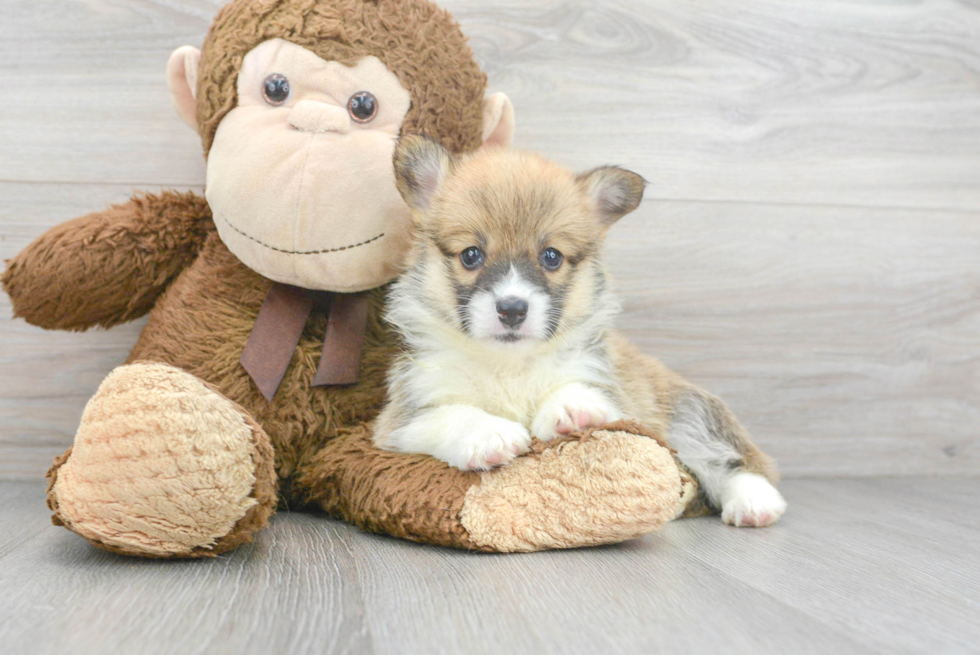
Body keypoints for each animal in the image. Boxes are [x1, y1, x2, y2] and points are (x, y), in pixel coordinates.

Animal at [376, 137, 788, 528]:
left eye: (551, 257)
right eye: (471, 255)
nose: (512, 309)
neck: (509, 365)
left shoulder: (611, 390)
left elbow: (579, 390)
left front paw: (570, 409)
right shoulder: (401, 420)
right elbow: (452, 414)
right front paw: (489, 433)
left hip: (691, 414)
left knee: (734, 462)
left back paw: (755, 503)